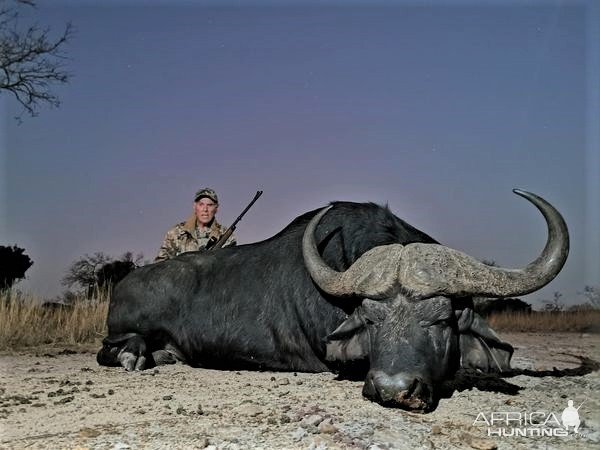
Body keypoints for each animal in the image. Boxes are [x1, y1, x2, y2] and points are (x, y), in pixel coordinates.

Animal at [98, 189, 568, 412]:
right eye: (371, 319)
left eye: (440, 319)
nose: (393, 390)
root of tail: (126, 282)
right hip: (122, 331)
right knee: (112, 349)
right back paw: (133, 356)